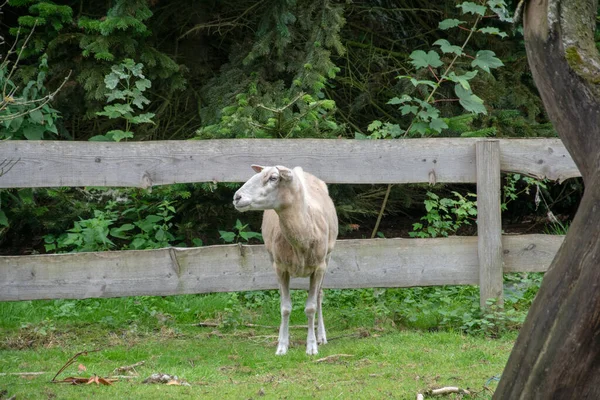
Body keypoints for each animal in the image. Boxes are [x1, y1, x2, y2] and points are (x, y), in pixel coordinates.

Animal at [233, 164, 338, 354]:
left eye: (273, 178)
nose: (237, 197)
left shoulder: (318, 267)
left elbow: (311, 307)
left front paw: (312, 346)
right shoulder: (280, 267)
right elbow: (285, 308)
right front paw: (282, 345)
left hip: (327, 258)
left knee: (320, 296)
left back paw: (321, 336)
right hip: (273, 259)